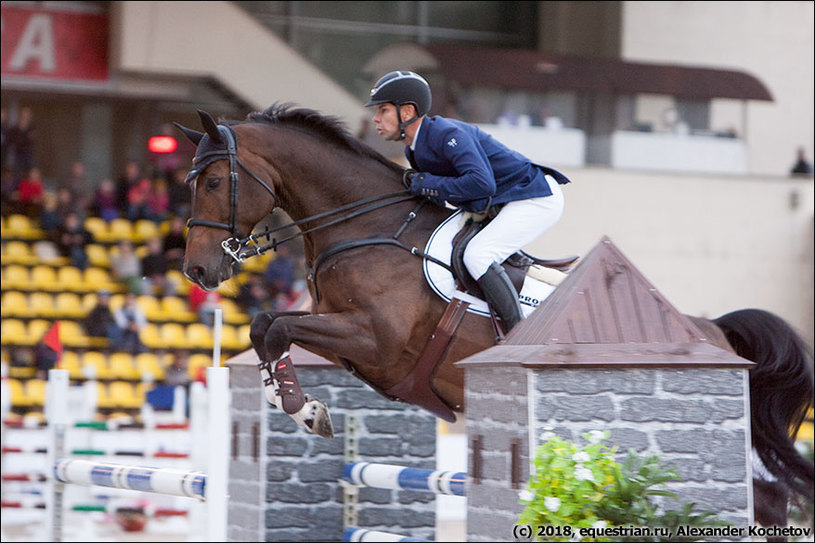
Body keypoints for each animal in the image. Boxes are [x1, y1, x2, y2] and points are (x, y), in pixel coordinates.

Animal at [177, 104, 815, 528]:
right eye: (190, 182)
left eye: (215, 181)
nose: (198, 271)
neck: (367, 225)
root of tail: (714, 331)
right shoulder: (346, 340)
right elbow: (265, 326)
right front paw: (294, 399)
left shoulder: (374, 339)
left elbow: (278, 325)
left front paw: (302, 408)